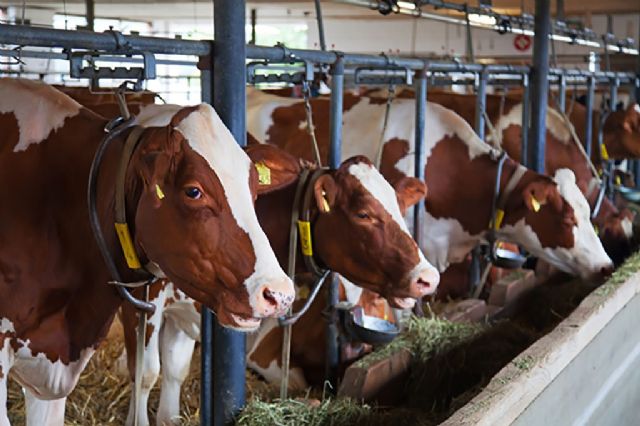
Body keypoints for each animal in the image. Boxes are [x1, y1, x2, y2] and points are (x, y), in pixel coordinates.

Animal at [119, 104, 440, 426]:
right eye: (363, 214)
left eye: (400, 207)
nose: (428, 277)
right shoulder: (140, 300)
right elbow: (145, 374)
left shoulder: (188, 310)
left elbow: (175, 370)